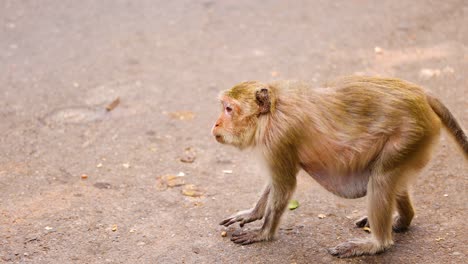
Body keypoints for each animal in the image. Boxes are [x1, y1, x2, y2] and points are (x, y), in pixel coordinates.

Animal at [212, 76, 468, 258]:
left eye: (229, 109)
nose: (215, 124)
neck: (273, 112)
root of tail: (420, 92)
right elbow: (276, 184)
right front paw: (252, 213)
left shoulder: (279, 139)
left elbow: (284, 185)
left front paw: (263, 233)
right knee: (392, 180)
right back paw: (404, 219)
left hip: (409, 136)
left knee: (381, 179)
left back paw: (375, 244)